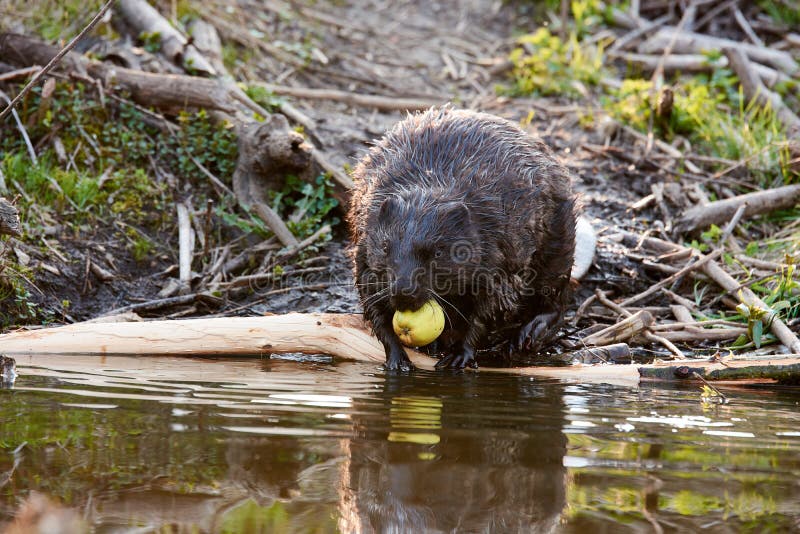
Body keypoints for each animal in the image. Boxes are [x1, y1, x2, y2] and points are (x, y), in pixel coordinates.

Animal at [348, 107, 580, 370]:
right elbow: (370, 299)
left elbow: (492, 305)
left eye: (437, 252)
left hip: (559, 235)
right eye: (386, 247)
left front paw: (459, 356)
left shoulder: (498, 248)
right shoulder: (365, 241)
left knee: (556, 296)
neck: (426, 193)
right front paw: (398, 359)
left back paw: (526, 335)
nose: (404, 292)